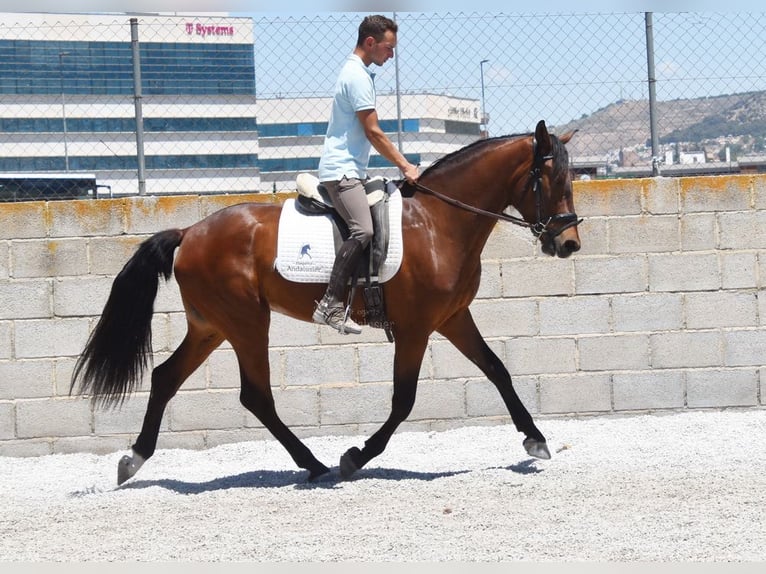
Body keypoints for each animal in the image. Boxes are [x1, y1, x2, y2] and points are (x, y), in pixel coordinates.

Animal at [70, 120, 581, 485]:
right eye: (550, 179)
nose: (569, 243)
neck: (440, 222)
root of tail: (190, 231)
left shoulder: (453, 317)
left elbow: (497, 369)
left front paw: (535, 440)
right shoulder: (416, 328)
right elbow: (403, 400)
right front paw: (356, 456)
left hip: (210, 327)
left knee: (165, 378)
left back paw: (134, 459)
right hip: (245, 323)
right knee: (255, 395)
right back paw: (315, 463)